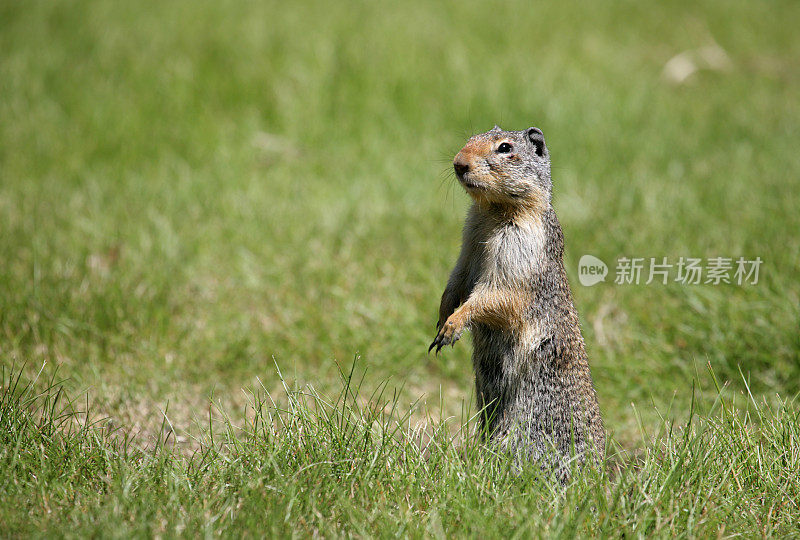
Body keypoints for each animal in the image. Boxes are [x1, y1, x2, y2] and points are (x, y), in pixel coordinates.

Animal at [434, 125, 604, 476]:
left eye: (505, 148)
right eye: (469, 138)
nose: (458, 163)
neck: (492, 211)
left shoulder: (518, 250)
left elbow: (494, 295)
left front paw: (453, 325)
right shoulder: (468, 242)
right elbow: (455, 282)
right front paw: (441, 320)